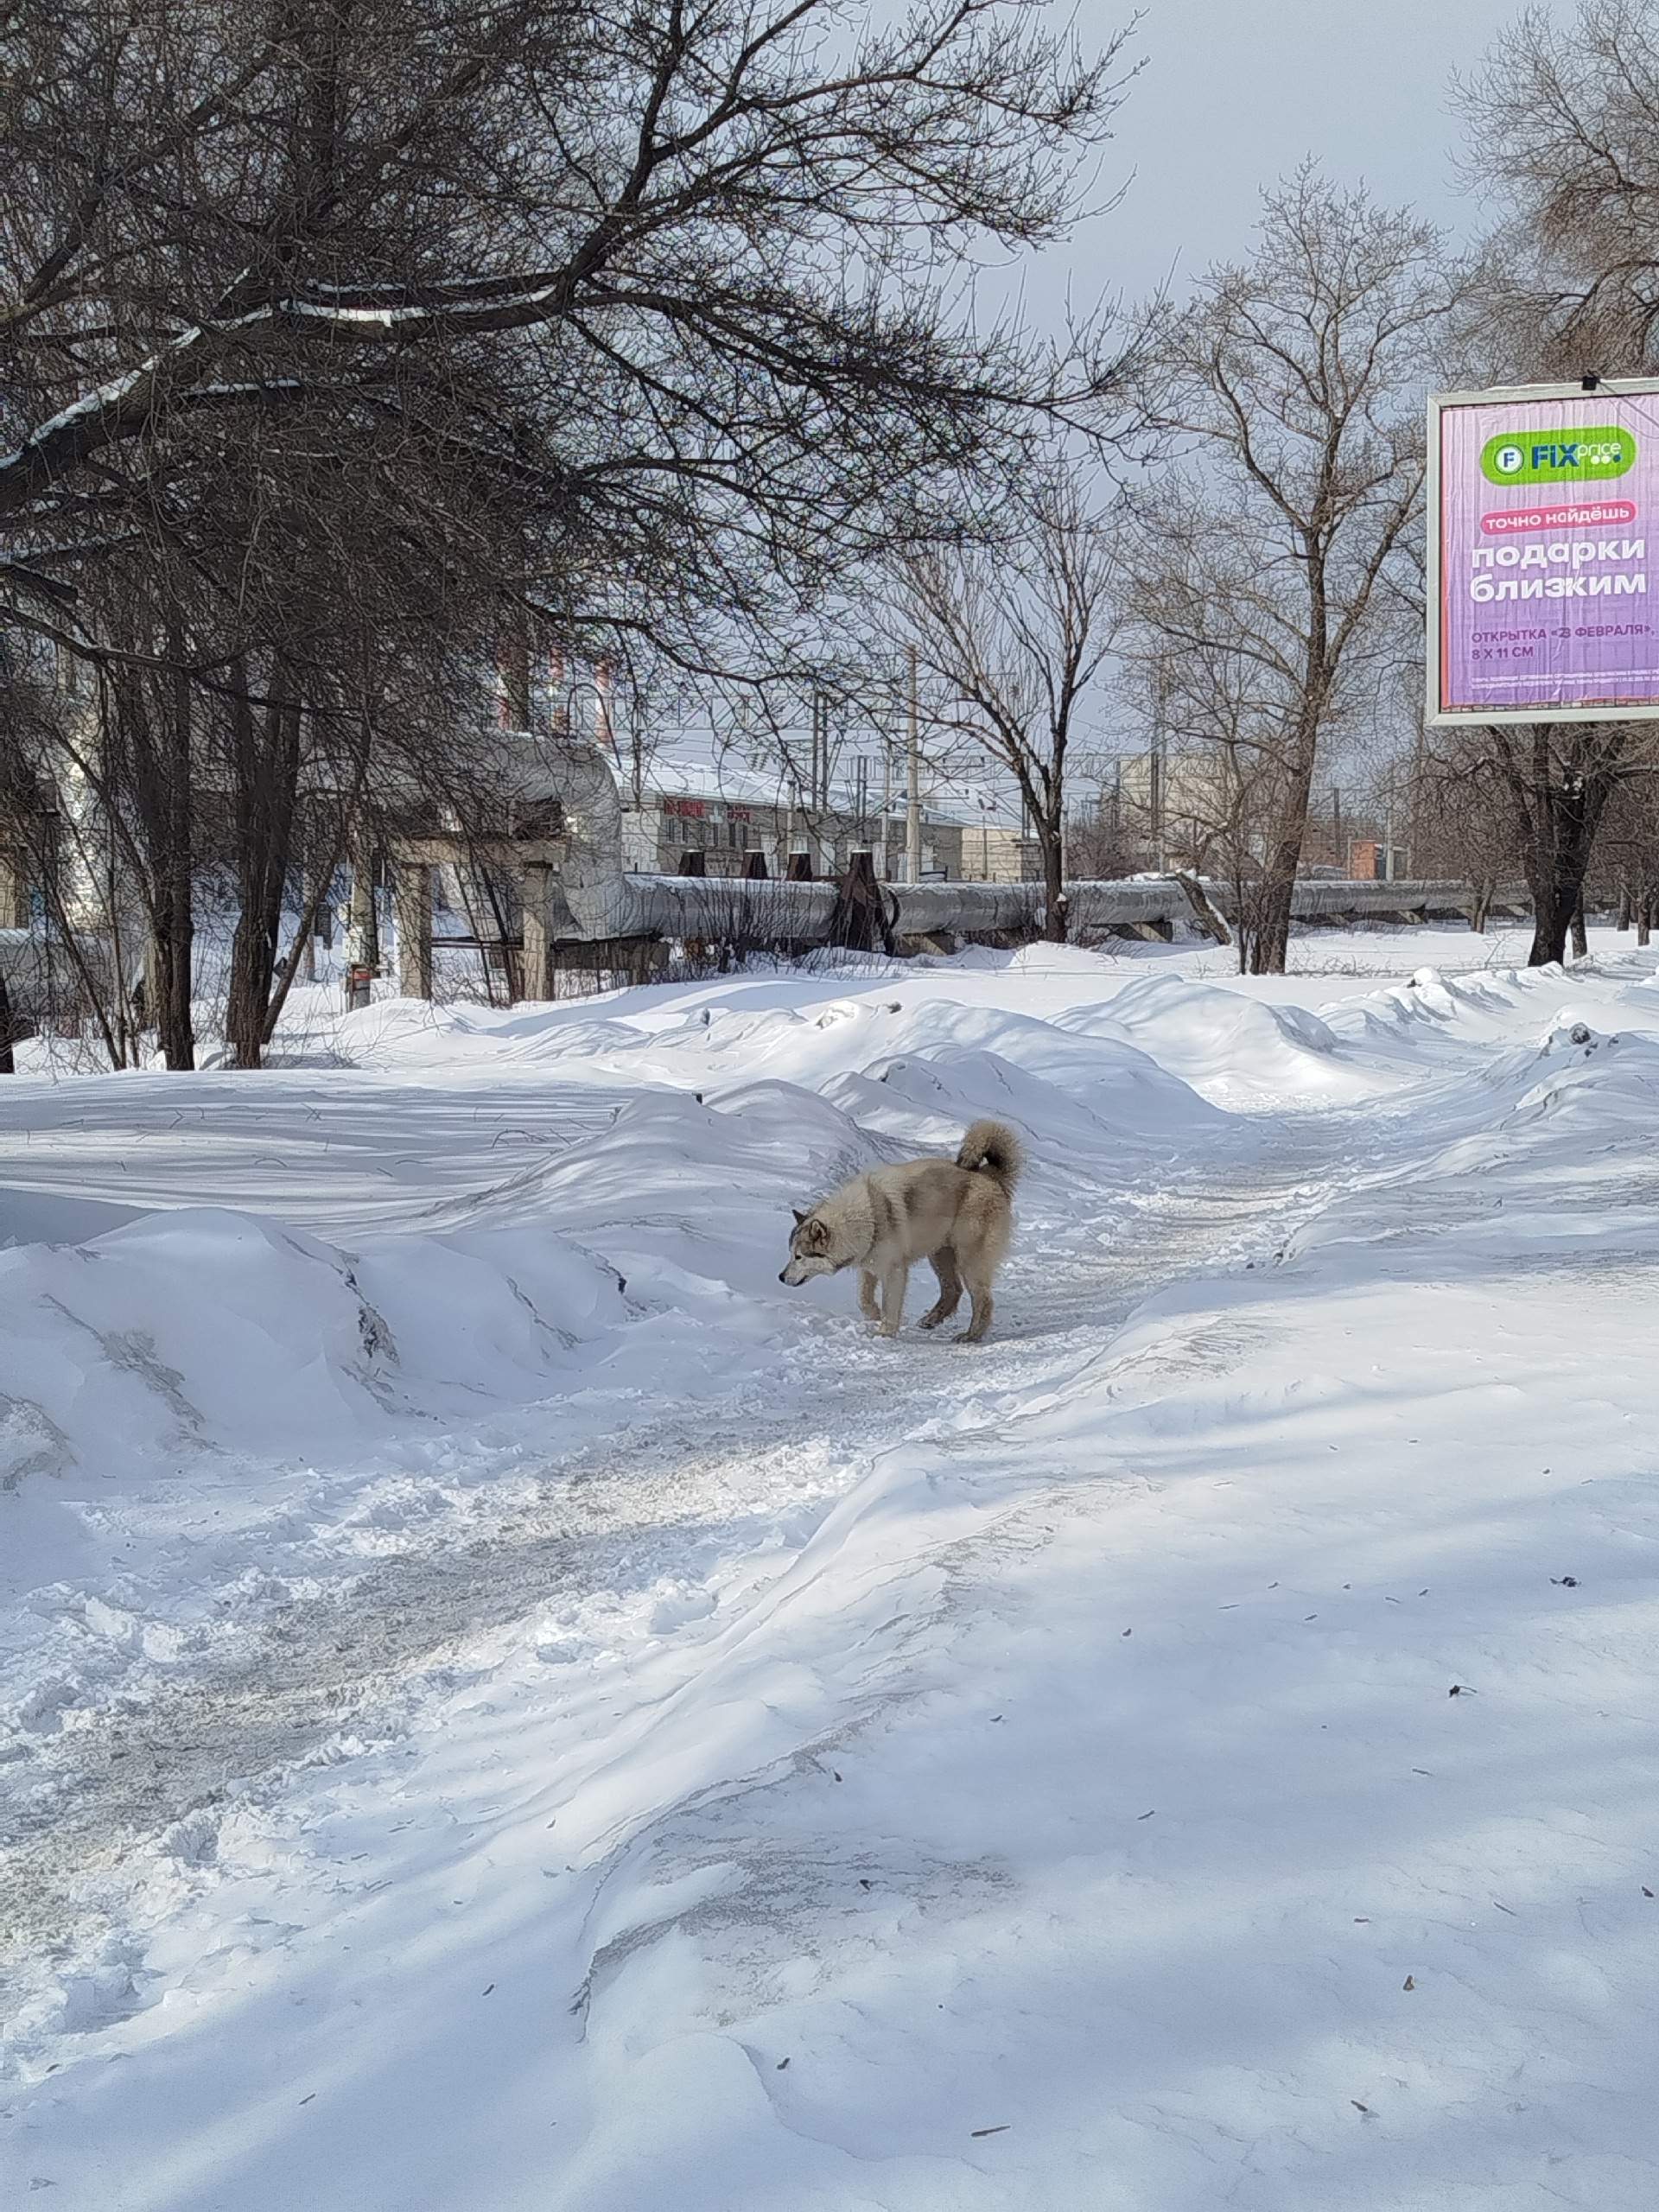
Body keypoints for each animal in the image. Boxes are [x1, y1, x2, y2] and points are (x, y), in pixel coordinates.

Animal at [779, 1118, 1024, 1342]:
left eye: (799, 1257)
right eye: (791, 1254)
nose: (780, 1277)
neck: (864, 1217)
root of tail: (988, 1175)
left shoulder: (894, 1270)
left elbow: (890, 1302)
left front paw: (886, 1331)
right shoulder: (868, 1266)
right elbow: (863, 1299)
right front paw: (876, 1317)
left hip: (968, 1260)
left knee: (983, 1300)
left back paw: (971, 1335)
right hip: (940, 1255)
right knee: (953, 1290)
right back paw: (931, 1320)